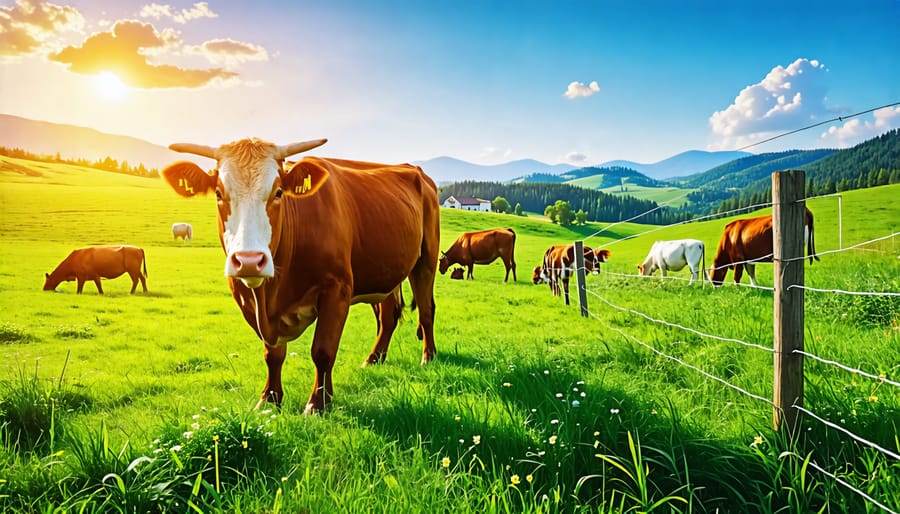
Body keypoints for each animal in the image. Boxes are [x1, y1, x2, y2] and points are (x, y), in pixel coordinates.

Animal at [163, 136, 444, 412]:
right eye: (219, 193)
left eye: (278, 192)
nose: (249, 261)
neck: (272, 294)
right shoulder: (247, 299)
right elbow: (273, 355)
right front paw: (270, 399)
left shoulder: (337, 289)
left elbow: (323, 350)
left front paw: (318, 403)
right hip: (385, 272)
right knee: (388, 316)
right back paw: (373, 359)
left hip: (426, 260)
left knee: (426, 310)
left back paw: (428, 356)